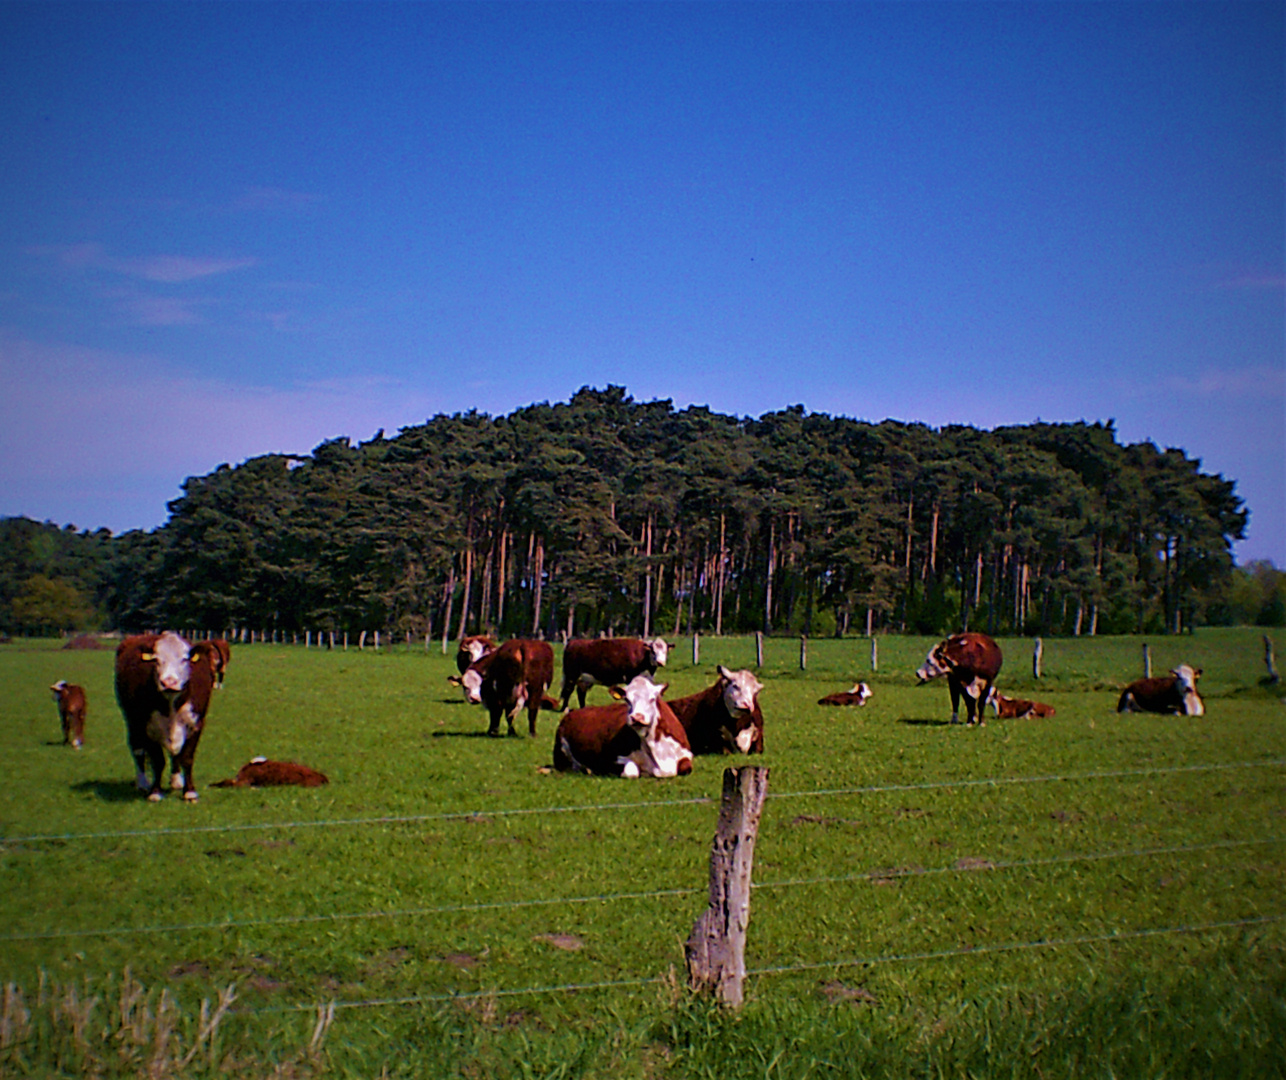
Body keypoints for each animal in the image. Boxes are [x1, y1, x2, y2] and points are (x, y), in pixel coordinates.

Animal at [552, 673, 694, 776]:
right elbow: (632, 771)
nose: (637, 717)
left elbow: (685, 767)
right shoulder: (611, 760)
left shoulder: (685, 754)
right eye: (627, 700)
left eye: (653, 698)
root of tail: (571, 713)